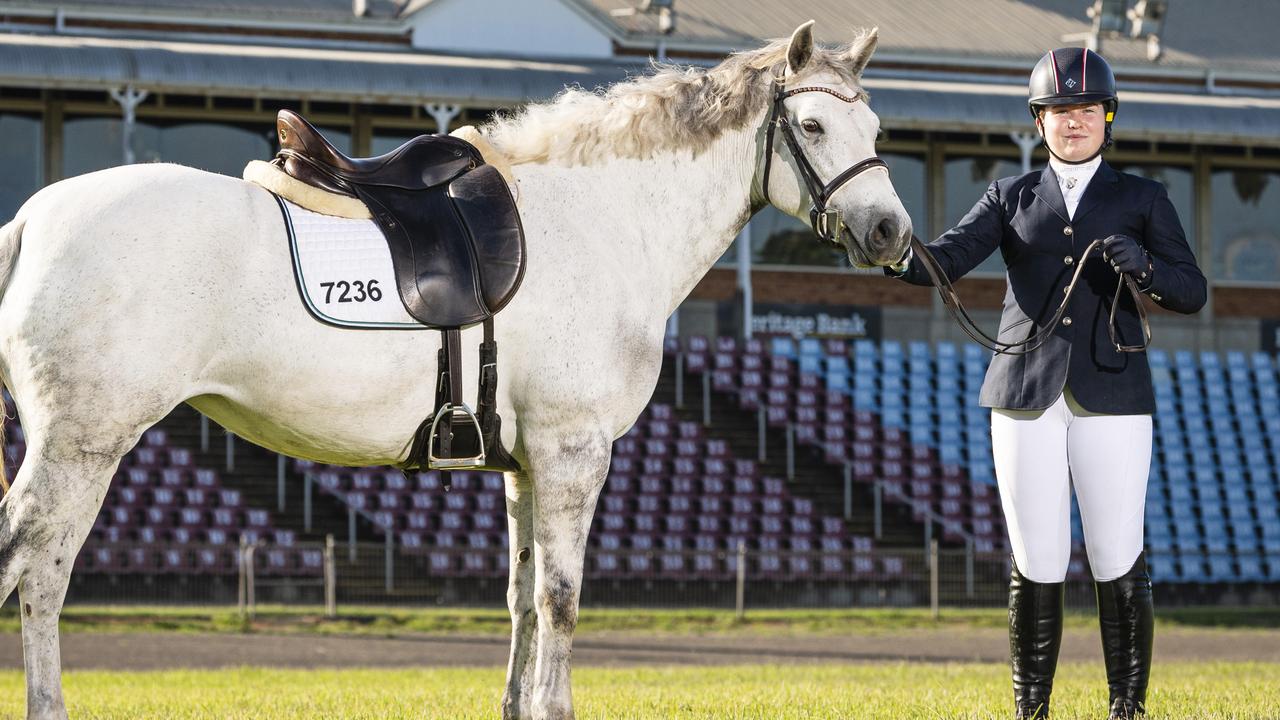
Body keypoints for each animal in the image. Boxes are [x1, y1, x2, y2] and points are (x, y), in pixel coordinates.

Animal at [0, 20, 911, 717]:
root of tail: (32, 218)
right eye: (815, 128)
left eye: (876, 134)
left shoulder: (522, 464)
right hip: (83, 444)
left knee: (41, 569)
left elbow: (520, 598)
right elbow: (561, 600)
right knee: (34, 565)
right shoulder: (574, 454)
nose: (891, 234)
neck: (604, 220)